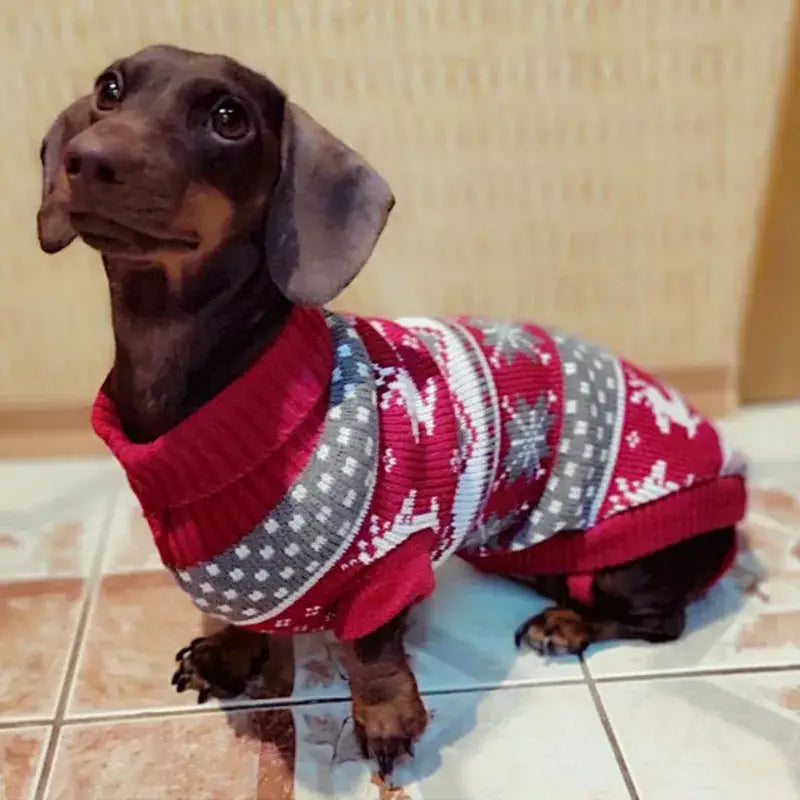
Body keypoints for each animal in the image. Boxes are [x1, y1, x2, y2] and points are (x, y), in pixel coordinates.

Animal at [39, 43, 744, 776]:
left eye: (229, 117)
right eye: (108, 89)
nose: (88, 160)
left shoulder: (388, 563)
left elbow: (371, 649)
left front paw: (384, 718)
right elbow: (243, 612)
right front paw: (229, 654)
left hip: (629, 561)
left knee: (662, 620)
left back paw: (566, 624)